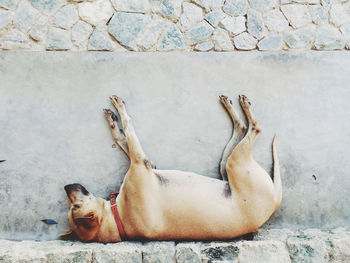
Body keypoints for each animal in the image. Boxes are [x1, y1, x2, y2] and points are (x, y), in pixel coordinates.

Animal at [60, 95, 282, 243]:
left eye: (74, 206)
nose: (67, 186)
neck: (118, 217)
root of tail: (274, 201)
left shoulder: (145, 163)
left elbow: (123, 138)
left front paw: (114, 122)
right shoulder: (140, 163)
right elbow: (129, 126)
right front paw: (120, 112)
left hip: (226, 166)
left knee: (242, 129)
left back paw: (233, 108)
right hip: (235, 163)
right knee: (254, 128)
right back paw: (243, 110)